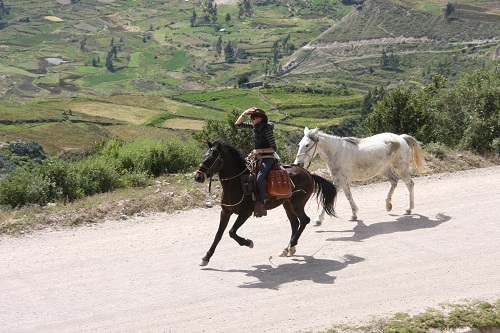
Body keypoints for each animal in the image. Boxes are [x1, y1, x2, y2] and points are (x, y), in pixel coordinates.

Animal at [193, 139, 338, 266]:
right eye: (204, 155)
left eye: (213, 158)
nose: (198, 176)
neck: (238, 183)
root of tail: (308, 174)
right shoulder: (225, 212)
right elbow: (218, 235)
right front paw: (206, 257)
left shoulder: (245, 213)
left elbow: (232, 232)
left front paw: (248, 242)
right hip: (287, 205)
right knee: (295, 223)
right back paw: (288, 249)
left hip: (297, 204)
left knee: (304, 220)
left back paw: (291, 245)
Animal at [292, 127, 426, 223]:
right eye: (299, 144)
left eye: (307, 145)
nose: (298, 163)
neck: (337, 153)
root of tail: (400, 138)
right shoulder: (342, 181)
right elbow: (349, 196)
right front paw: (354, 215)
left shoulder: (339, 181)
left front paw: (318, 220)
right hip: (384, 169)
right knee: (394, 181)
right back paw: (388, 205)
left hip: (401, 168)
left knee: (410, 184)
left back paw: (409, 209)